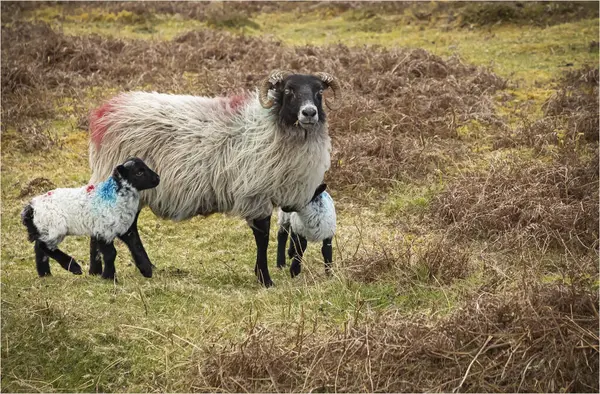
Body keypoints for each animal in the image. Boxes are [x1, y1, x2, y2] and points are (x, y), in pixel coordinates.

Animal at [22, 155, 161, 278]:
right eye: (139, 172)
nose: (158, 178)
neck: (116, 194)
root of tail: (31, 207)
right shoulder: (103, 229)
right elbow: (111, 254)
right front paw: (109, 277)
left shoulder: (125, 229)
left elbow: (137, 247)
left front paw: (147, 271)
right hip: (55, 228)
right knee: (44, 246)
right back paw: (73, 267)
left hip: (46, 229)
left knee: (39, 248)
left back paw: (45, 274)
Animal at [89, 70, 342, 286]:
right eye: (289, 91)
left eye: (319, 92)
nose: (309, 113)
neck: (272, 127)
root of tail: (107, 111)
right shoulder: (256, 193)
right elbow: (262, 237)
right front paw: (265, 278)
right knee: (126, 228)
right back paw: (140, 268)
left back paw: (98, 270)